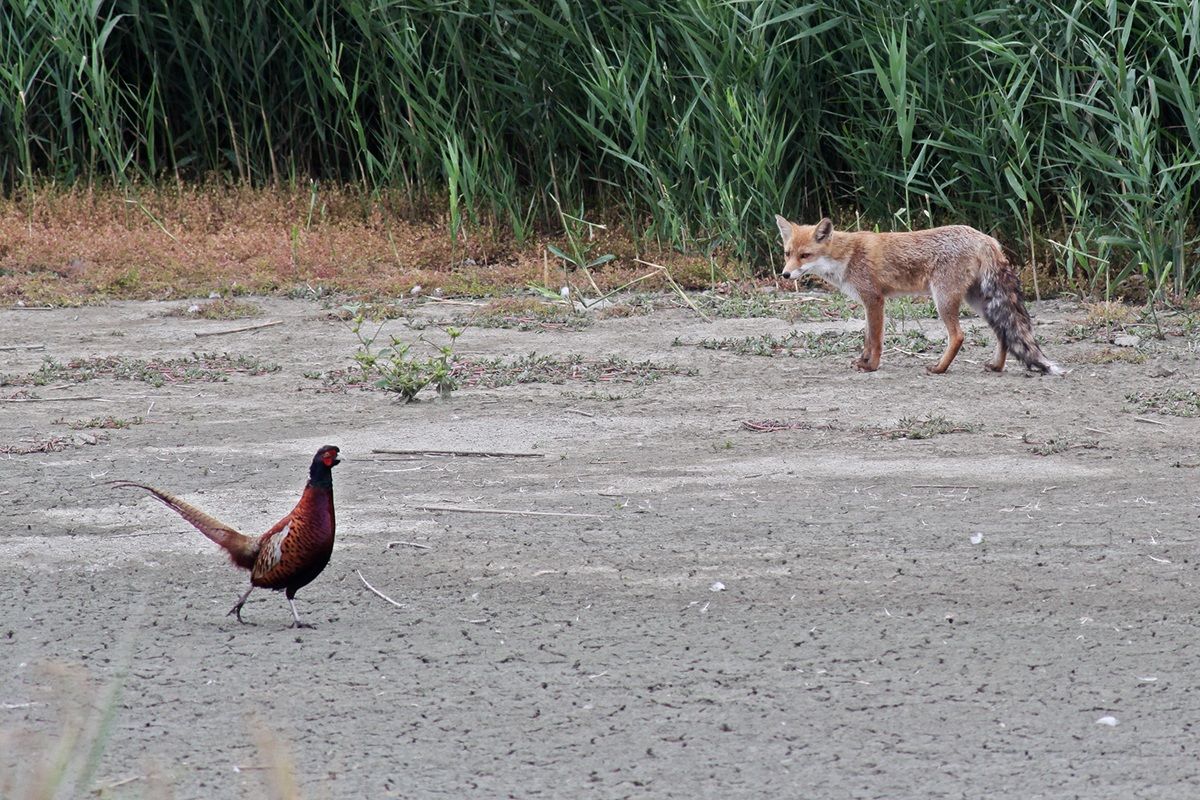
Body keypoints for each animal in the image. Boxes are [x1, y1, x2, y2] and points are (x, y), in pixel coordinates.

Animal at [774, 215, 1063, 376]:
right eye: (788, 253)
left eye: (805, 255)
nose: (785, 275)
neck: (846, 256)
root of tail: (985, 238)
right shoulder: (868, 302)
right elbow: (867, 337)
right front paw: (863, 361)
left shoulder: (874, 299)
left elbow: (875, 340)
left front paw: (871, 366)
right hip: (977, 301)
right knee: (1003, 332)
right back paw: (996, 366)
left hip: (943, 299)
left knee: (958, 336)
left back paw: (939, 368)